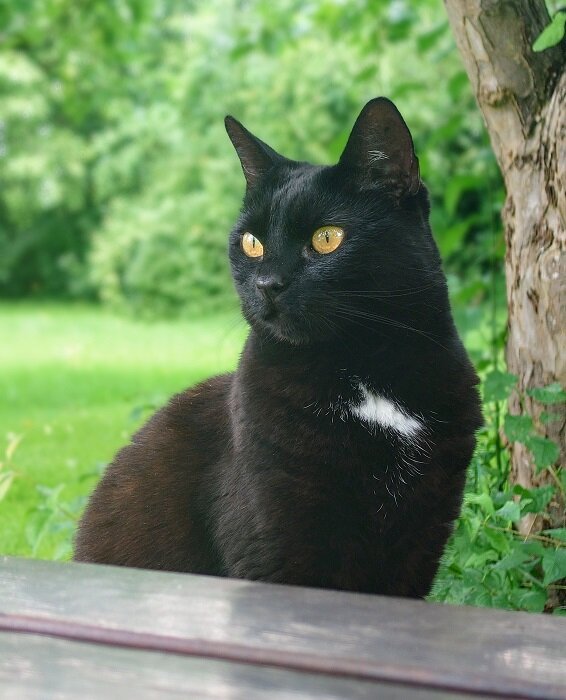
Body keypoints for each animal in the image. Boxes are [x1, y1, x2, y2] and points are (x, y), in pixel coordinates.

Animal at [75, 95, 484, 592]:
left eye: (327, 238)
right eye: (252, 243)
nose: (268, 283)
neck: (366, 370)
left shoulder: (422, 537)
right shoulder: (279, 536)